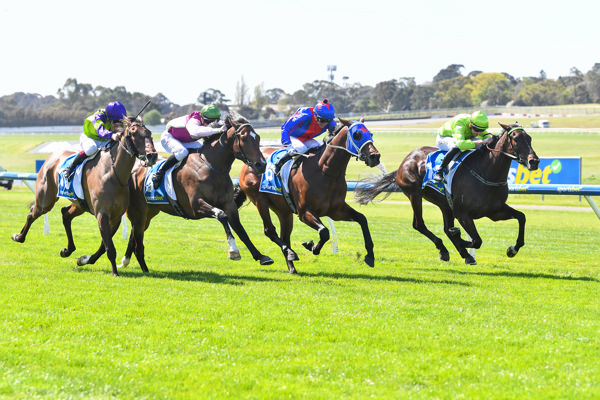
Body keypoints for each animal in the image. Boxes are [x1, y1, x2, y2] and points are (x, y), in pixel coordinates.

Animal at [12, 117, 157, 276]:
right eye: (134, 133)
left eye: (149, 133)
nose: (153, 155)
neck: (112, 173)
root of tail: (52, 156)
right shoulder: (102, 214)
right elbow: (109, 247)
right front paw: (114, 272)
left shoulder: (116, 216)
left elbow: (104, 245)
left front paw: (84, 259)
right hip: (46, 199)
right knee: (32, 214)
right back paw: (18, 237)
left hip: (79, 204)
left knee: (65, 214)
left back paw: (67, 250)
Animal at [109, 111, 274, 272]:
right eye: (244, 138)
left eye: (258, 138)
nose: (261, 165)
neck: (211, 167)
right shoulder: (196, 205)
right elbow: (222, 216)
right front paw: (233, 250)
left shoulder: (229, 204)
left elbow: (240, 229)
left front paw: (261, 256)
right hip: (139, 209)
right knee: (136, 231)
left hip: (149, 211)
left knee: (135, 232)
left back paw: (125, 260)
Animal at [238, 118, 380, 276]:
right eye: (357, 135)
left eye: (370, 134)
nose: (375, 156)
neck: (325, 171)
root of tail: (248, 164)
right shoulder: (305, 212)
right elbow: (324, 232)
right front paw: (311, 246)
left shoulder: (336, 210)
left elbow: (362, 219)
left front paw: (370, 256)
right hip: (260, 201)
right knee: (269, 230)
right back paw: (288, 254)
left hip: (284, 211)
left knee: (285, 236)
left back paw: (291, 266)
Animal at [356, 122, 540, 266]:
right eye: (515, 138)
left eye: (530, 138)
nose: (534, 161)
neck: (487, 172)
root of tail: (405, 161)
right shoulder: (463, 213)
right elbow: (476, 240)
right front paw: (459, 237)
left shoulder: (495, 211)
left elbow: (521, 217)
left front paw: (512, 249)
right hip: (415, 195)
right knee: (419, 224)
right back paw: (445, 250)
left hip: (444, 204)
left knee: (444, 228)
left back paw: (463, 254)